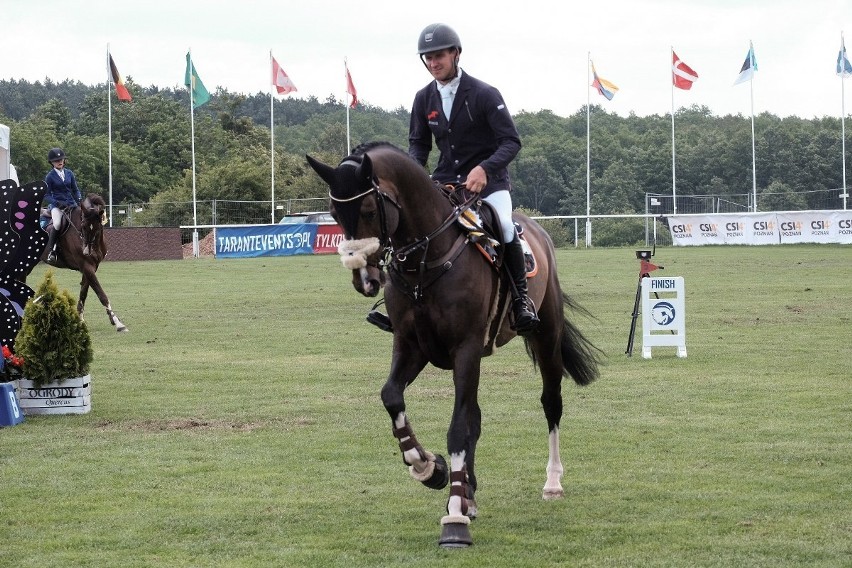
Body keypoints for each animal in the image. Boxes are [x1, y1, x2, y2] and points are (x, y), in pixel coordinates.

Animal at [39, 194, 128, 332]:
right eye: (83, 225)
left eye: (98, 227)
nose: (86, 251)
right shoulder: (86, 266)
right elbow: (101, 294)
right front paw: (118, 323)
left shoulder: (91, 267)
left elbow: (83, 293)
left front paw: (80, 320)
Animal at [306, 142, 600, 544]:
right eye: (335, 213)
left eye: (367, 210)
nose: (364, 279)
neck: (426, 259)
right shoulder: (412, 347)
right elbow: (392, 397)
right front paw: (430, 469)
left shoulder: (466, 349)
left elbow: (459, 426)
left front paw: (455, 517)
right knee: (476, 415)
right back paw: (467, 492)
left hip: (546, 337)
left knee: (551, 403)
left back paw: (551, 483)